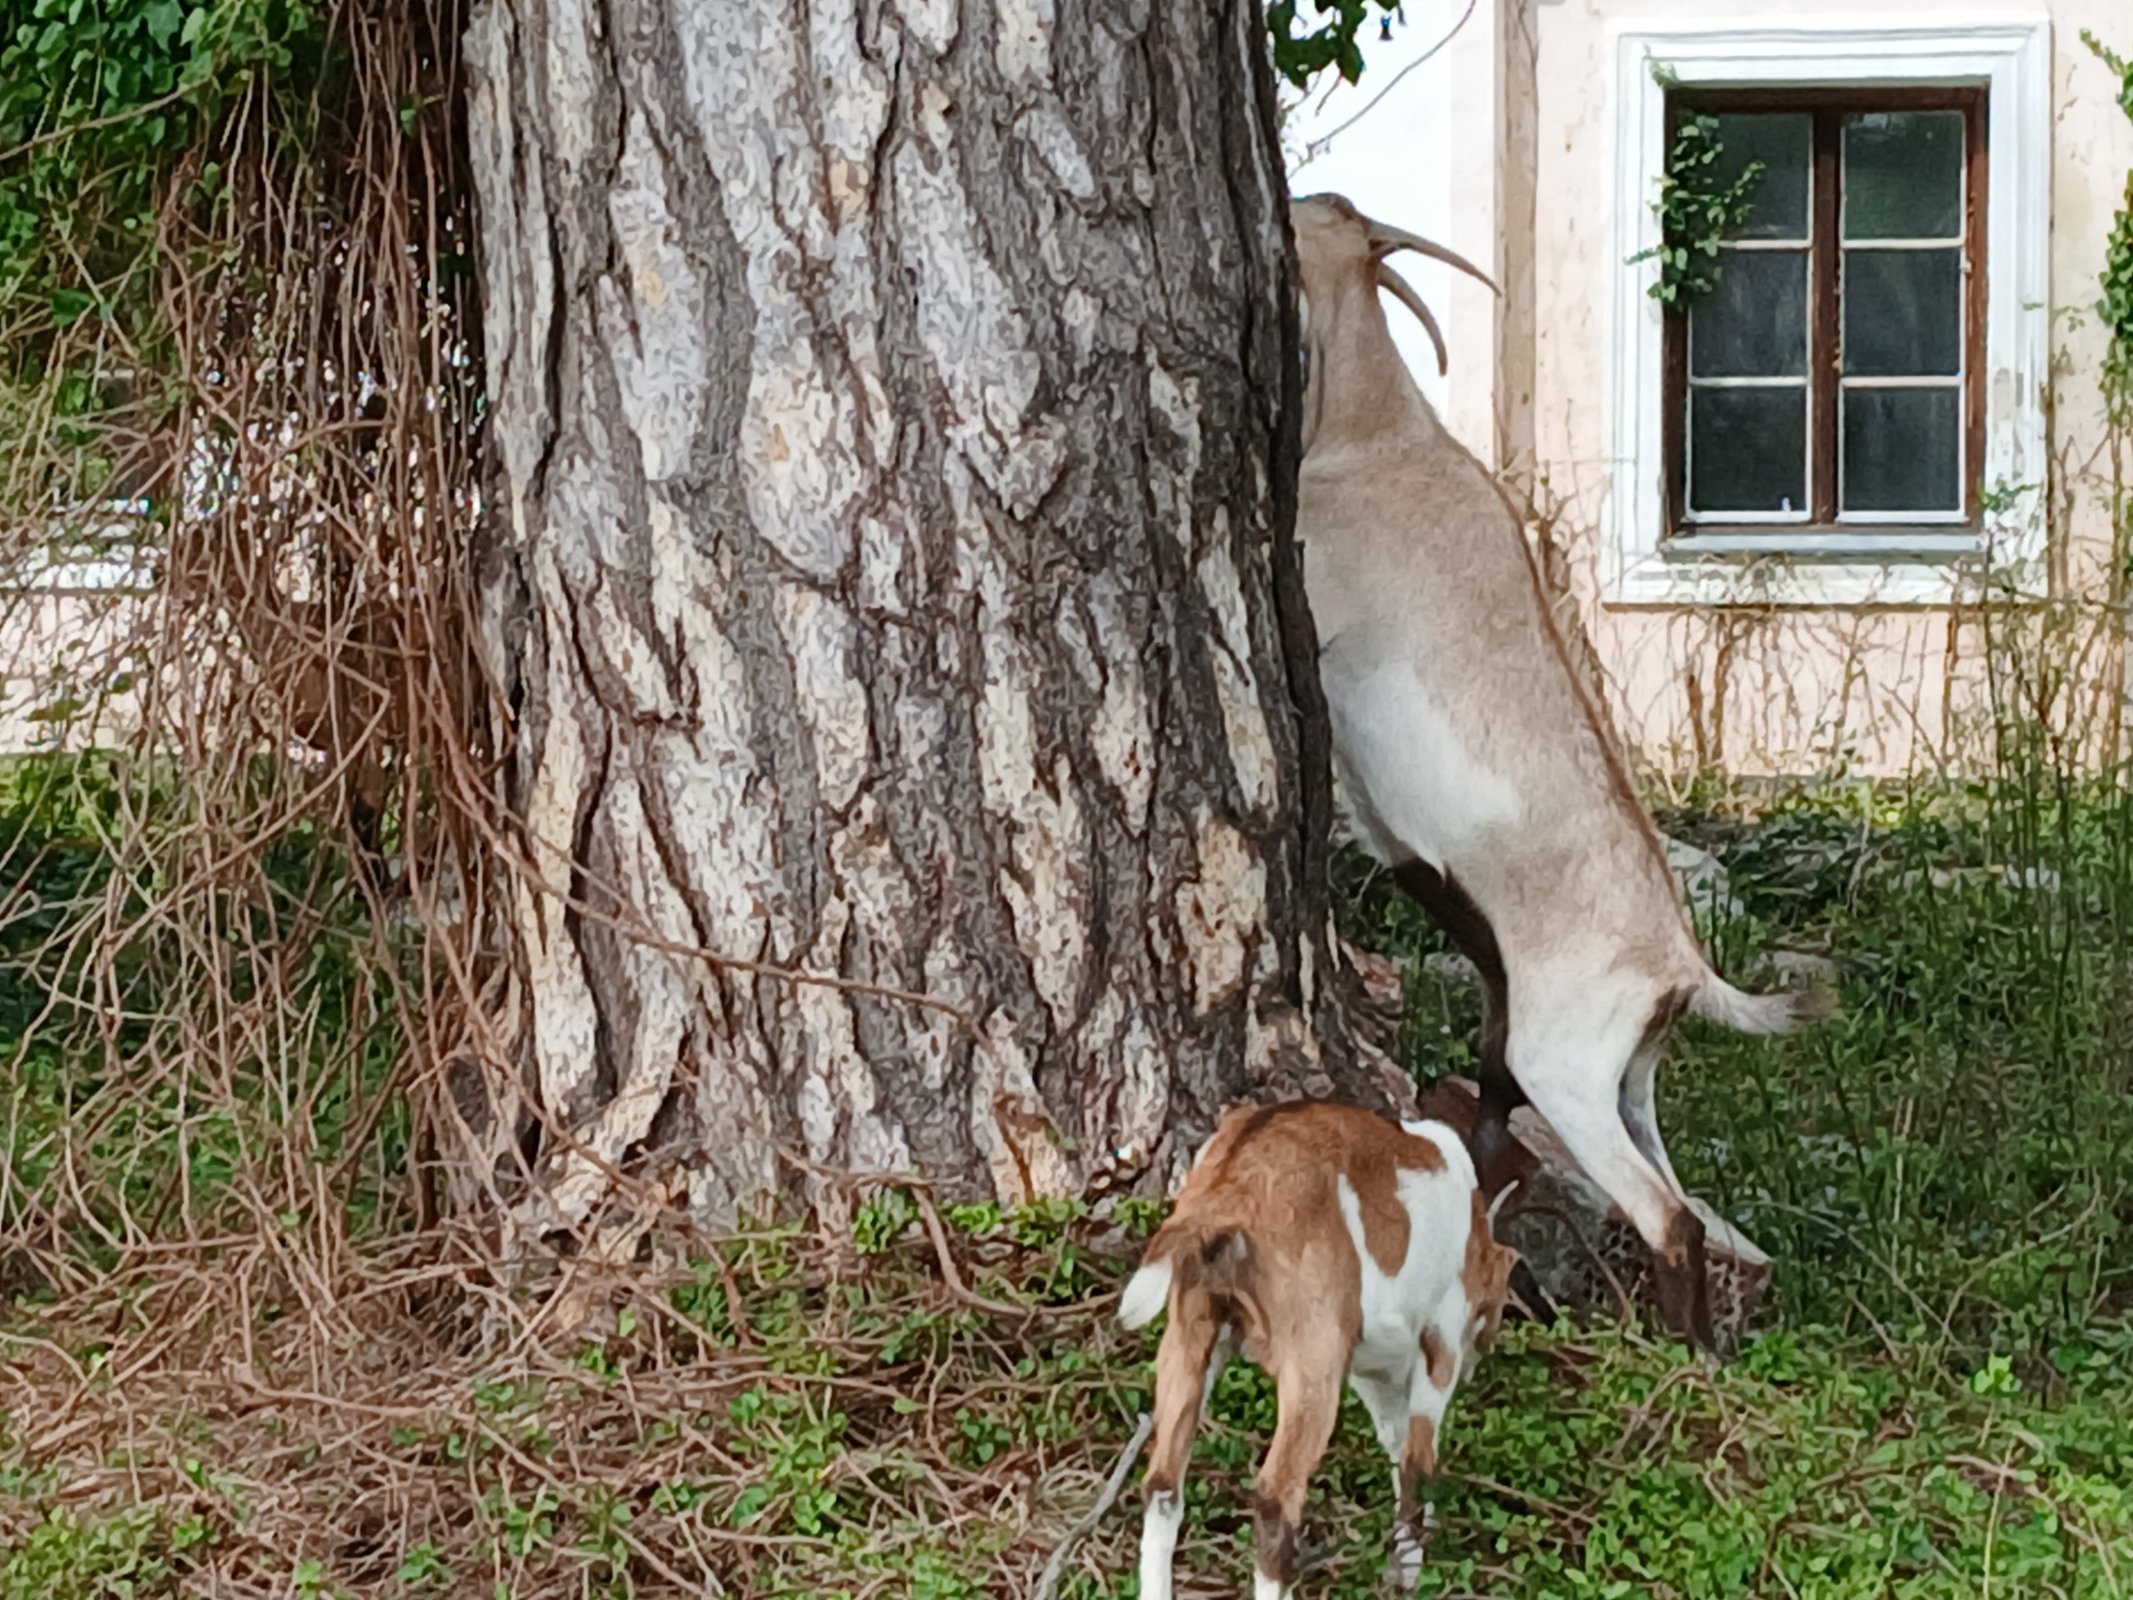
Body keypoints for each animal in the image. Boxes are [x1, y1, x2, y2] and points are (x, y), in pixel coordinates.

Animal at [1120, 1101, 1519, 1599]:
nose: (1482, 1353)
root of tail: (1228, 1190)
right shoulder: (1439, 1339)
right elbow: (1418, 1460)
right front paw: (1409, 1573)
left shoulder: (1374, 1374)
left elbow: (1397, 1446)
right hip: (1313, 1356)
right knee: (1277, 1498)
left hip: (1190, 1332)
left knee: (1162, 1484)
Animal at [1289, 192, 1832, 1352]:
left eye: (1324, 219)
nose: (1301, 193)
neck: (1381, 439)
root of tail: (1683, 970)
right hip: (1622, 1079)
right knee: (1638, 1183)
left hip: (1565, 1063)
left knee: (1668, 1213)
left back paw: (1676, 1354)